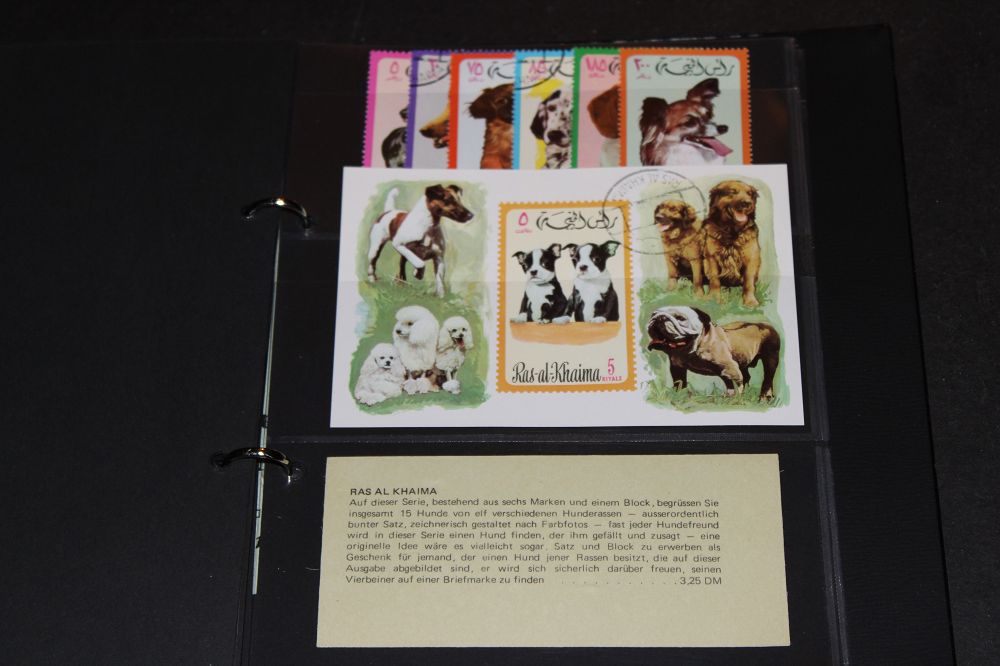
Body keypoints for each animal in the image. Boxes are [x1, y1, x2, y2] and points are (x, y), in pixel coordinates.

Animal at [646, 306, 779, 399]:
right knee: (746, 376)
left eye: (680, 318)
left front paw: (732, 398)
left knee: (768, 376)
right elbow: (679, 382)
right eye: (652, 315)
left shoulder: (729, 369)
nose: (659, 318)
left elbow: (733, 383)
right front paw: (679, 395)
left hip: (771, 357)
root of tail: (765, 325)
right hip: (742, 360)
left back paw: (765, 397)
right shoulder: (677, 367)